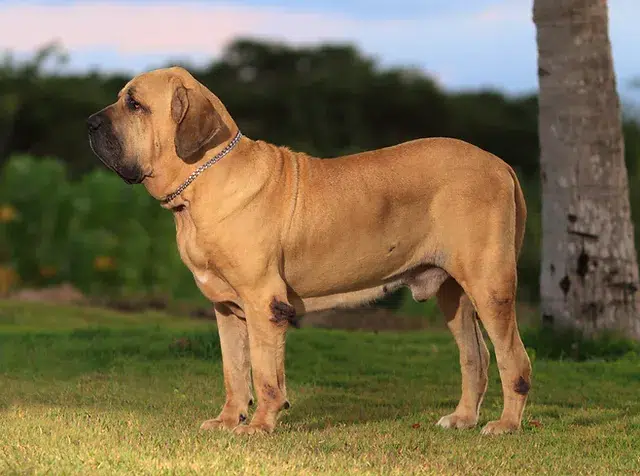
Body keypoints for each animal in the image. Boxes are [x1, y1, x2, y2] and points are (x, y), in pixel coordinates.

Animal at [87, 66, 532, 436]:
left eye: (135, 104)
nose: (89, 123)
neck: (203, 179)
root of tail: (500, 164)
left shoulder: (263, 301)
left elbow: (265, 374)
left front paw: (258, 427)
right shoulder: (226, 309)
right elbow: (234, 371)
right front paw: (228, 420)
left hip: (490, 286)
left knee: (514, 360)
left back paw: (505, 425)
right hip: (453, 294)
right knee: (475, 358)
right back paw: (462, 418)